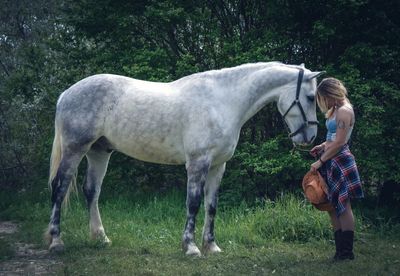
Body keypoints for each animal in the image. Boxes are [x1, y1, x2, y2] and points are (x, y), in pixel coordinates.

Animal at [45, 61, 324, 256]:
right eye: (311, 97)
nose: (309, 137)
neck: (223, 101)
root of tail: (66, 94)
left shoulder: (218, 166)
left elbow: (211, 205)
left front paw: (211, 246)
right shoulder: (198, 163)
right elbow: (194, 203)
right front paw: (190, 247)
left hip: (99, 151)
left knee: (91, 191)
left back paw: (100, 237)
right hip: (75, 149)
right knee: (59, 188)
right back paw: (56, 241)